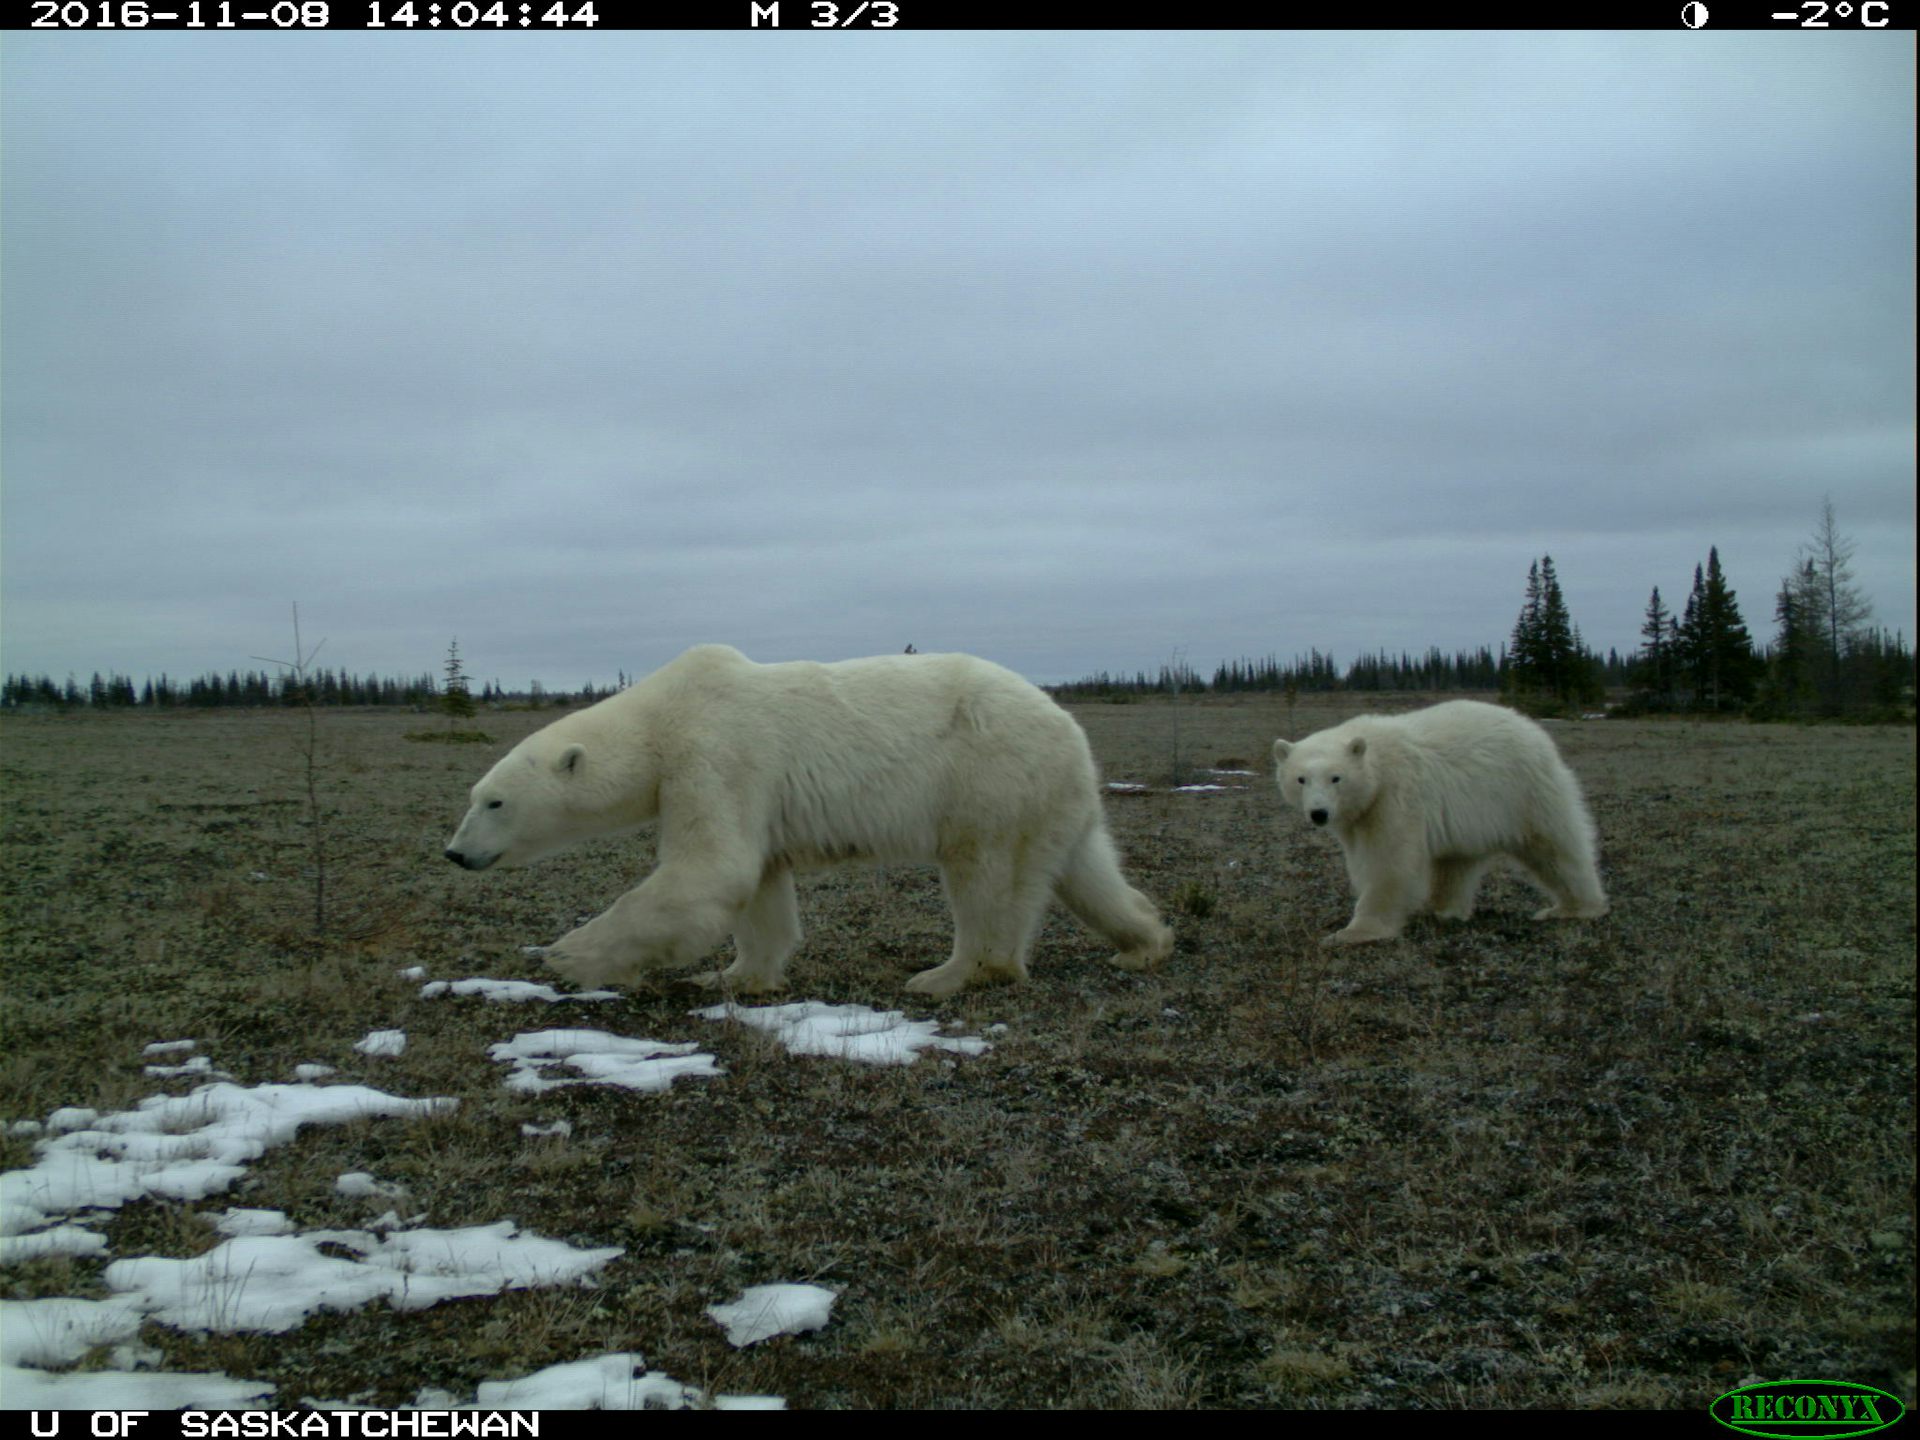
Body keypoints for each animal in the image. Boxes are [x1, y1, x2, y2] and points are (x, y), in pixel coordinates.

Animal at [445, 644, 1174, 998]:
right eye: (474, 794)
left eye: (495, 802)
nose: (455, 853)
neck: (661, 717)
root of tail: (1068, 727)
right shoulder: (744, 789)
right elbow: (759, 883)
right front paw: (734, 976)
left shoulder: (716, 753)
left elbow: (711, 869)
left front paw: (568, 955)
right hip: (1051, 798)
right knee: (1085, 870)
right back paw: (1144, 942)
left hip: (990, 777)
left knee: (986, 878)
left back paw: (948, 976)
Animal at [1271, 700, 1608, 945]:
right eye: (1300, 779)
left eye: (1335, 777)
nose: (1319, 813)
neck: (1376, 760)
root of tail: (1532, 728)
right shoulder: (1360, 815)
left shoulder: (1394, 795)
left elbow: (1389, 860)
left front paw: (1354, 932)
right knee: (1455, 864)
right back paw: (1442, 908)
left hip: (1524, 791)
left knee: (1555, 846)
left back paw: (1573, 907)